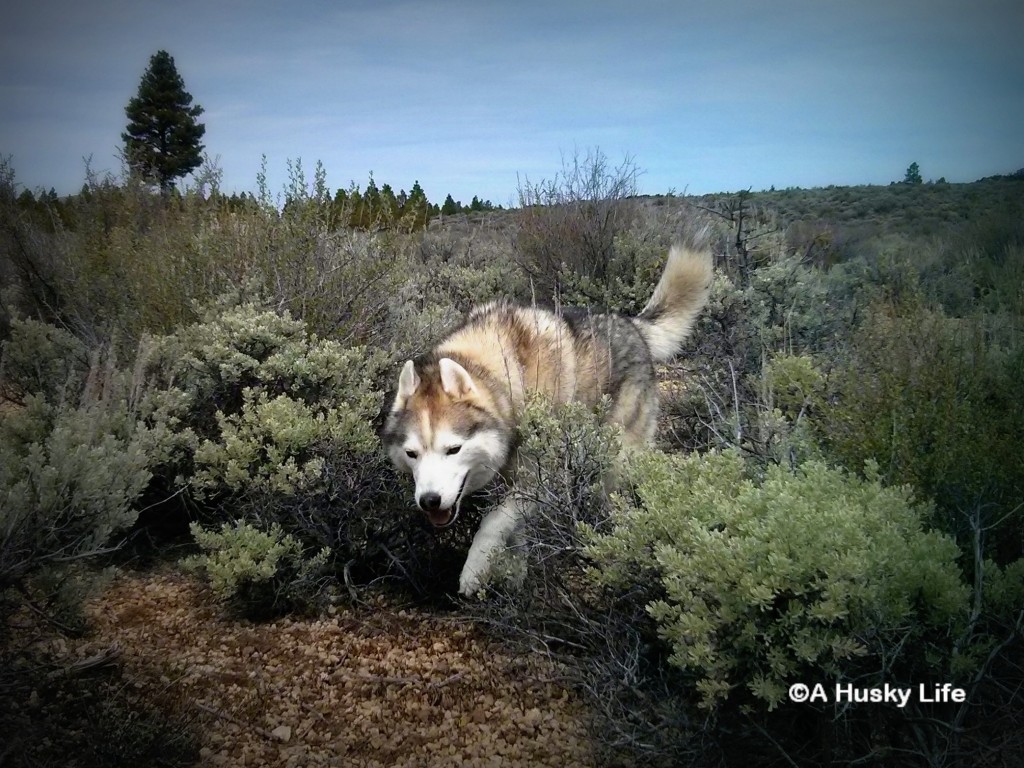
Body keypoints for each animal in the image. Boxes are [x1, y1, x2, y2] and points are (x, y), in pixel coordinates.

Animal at [382, 243, 712, 598]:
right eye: (412, 454)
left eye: (453, 449)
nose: (429, 501)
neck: (507, 374)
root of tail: (632, 324)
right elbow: (514, 533)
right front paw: (515, 577)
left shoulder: (541, 477)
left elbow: (492, 523)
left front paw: (473, 571)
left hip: (616, 462)